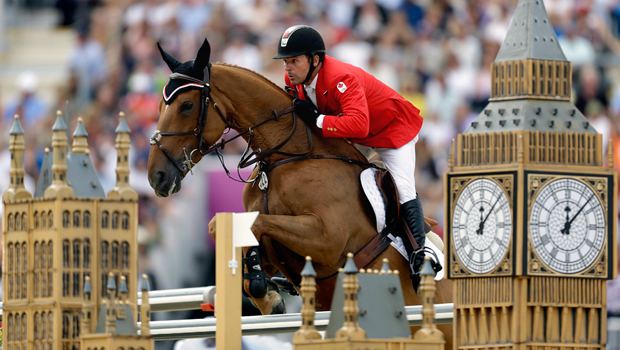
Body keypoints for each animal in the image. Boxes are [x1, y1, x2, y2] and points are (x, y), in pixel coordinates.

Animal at [148, 38, 452, 344]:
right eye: (160, 106)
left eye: (187, 105)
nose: (156, 177)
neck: (284, 159)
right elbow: (230, 228)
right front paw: (265, 290)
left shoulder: (327, 239)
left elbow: (256, 223)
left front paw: (263, 289)